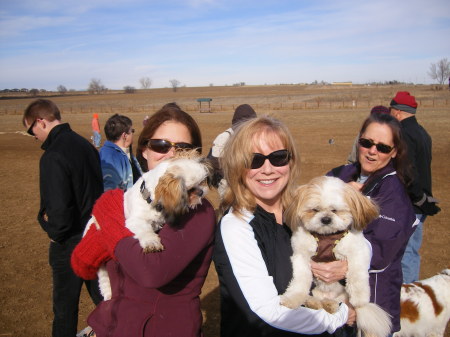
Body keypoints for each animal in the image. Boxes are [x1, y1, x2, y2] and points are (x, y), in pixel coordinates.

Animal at [280, 175, 392, 336]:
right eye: (315, 210)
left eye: (335, 210)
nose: (326, 219)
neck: (326, 237)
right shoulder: (301, 256)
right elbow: (301, 281)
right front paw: (293, 298)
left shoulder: (358, 251)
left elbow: (357, 276)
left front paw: (360, 298)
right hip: (316, 291)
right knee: (318, 301)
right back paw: (313, 302)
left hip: (342, 296)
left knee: (340, 302)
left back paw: (330, 304)